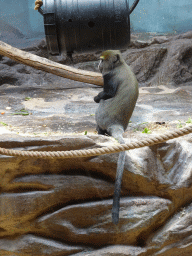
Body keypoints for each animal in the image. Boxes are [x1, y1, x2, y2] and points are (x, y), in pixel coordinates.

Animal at [94, 50, 138, 224]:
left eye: (101, 60)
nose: (97, 64)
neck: (121, 65)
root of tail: (117, 125)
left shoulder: (110, 76)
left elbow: (108, 93)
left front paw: (97, 97)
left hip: (102, 118)